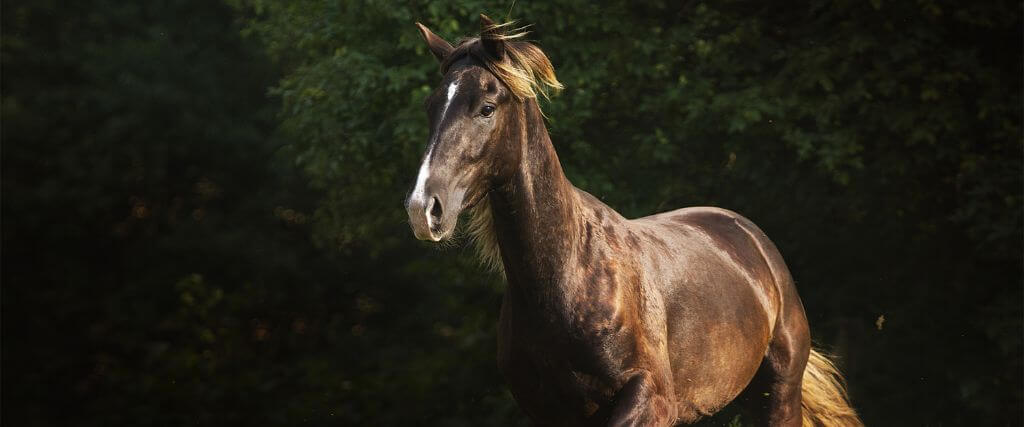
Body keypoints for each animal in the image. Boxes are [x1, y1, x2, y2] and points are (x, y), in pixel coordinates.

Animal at [404, 15, 862, 427]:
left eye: (486, 108)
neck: (565, 275)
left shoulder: (650, 400)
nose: (423, 208)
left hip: (778, 395)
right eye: (429, 107)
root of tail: (752, 238)